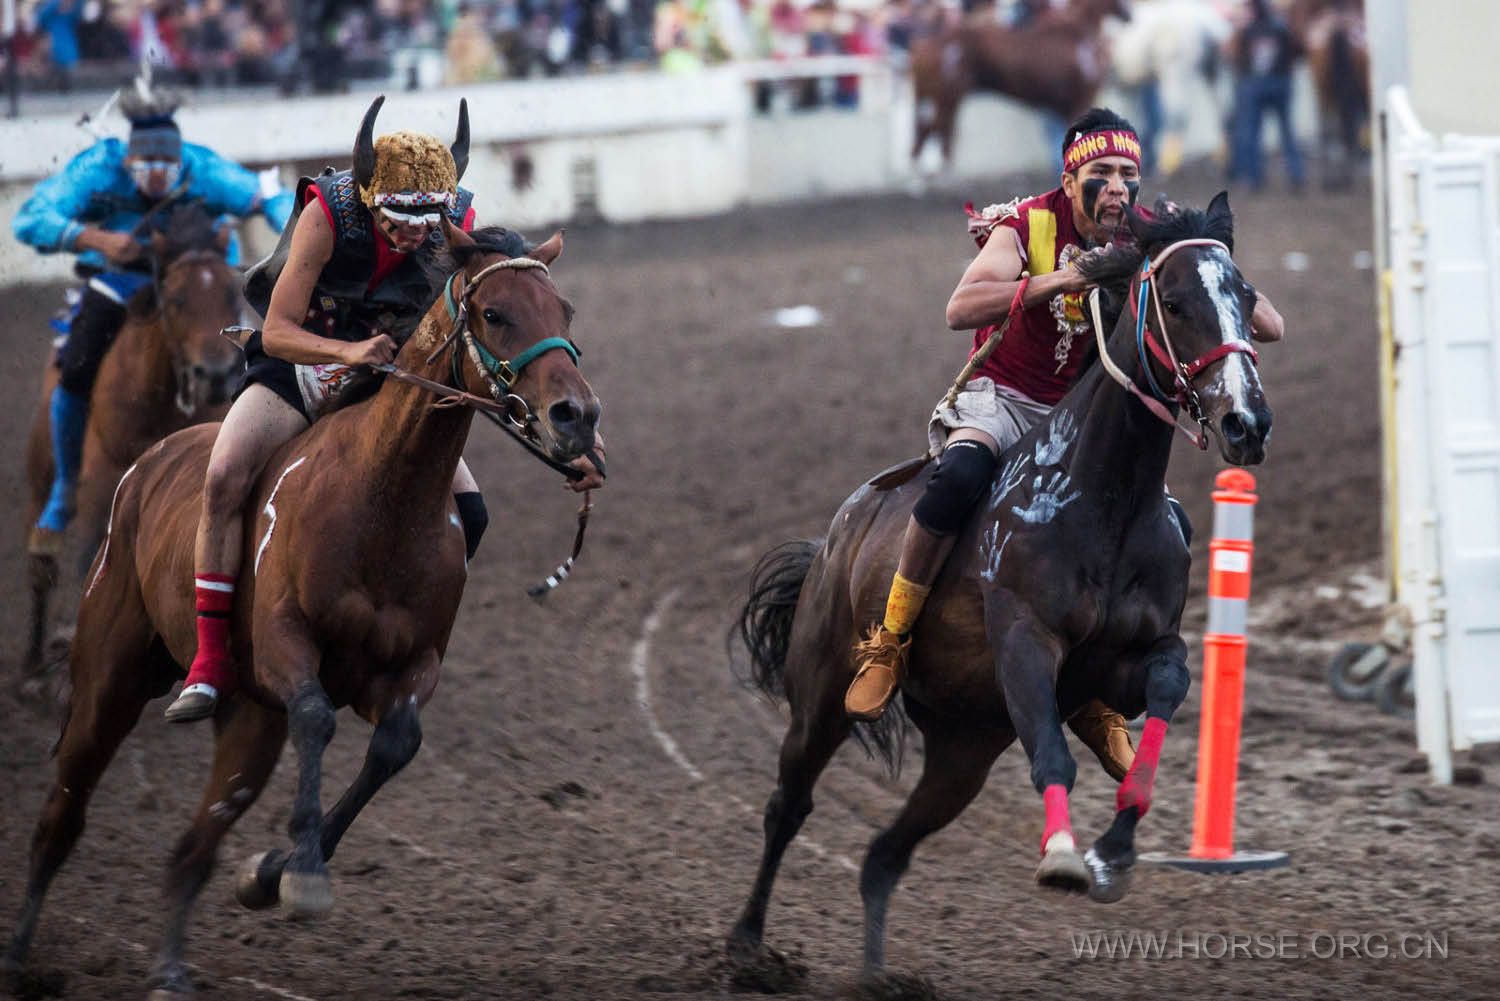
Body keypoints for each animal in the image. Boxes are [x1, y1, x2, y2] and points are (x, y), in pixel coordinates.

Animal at [22, 202, 243, 678]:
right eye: (176, 301)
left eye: (233, 296)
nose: (216, 374)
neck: (156, 397)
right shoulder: (105, 479)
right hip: (40, 477)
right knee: (40, 567)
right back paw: (32, 668)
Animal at [732, 193, 1272, 978]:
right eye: (1174, 302)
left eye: (1249, 299)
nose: (1247, 421)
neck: (1100, 497)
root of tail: (836, 537)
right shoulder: (1023, 636)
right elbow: (1051, 753)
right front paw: (1066, 857)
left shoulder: (1140, 652)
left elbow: (1167, 689)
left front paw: (1113, 851)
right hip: (822, 695)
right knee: (788, 805)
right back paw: (745, 942)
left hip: (965, 747)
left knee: (883, 856)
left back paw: (877, 978)